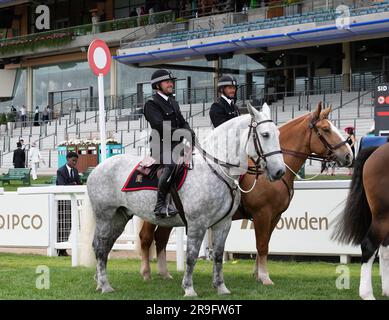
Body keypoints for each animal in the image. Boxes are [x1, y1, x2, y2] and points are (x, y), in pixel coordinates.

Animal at [85, 104, 284, 296]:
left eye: (278, 134)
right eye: (265, 134)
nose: (279, 171)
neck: (216, 169)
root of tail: (98, 167)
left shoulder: (223, 223)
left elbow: (218, 255)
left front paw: (221, 288)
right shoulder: (198, 223)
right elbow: (191, 256)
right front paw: (189, 288)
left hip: (119, 217)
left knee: (105, 245)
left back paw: (99, 282)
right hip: (105, 216)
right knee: (100, 246)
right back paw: (105, 286)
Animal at [136, 101, 352, 284]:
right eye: (326, 129)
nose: (349, 155)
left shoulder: (274, 216)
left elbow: (264, 244)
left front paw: (257, 274)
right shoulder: (262, 214)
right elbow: (262, 244)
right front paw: (265, 277)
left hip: (172, 217)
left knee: (161, 238)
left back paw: (164, 274)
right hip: (153, 214)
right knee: (146, 238)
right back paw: (146, 273)